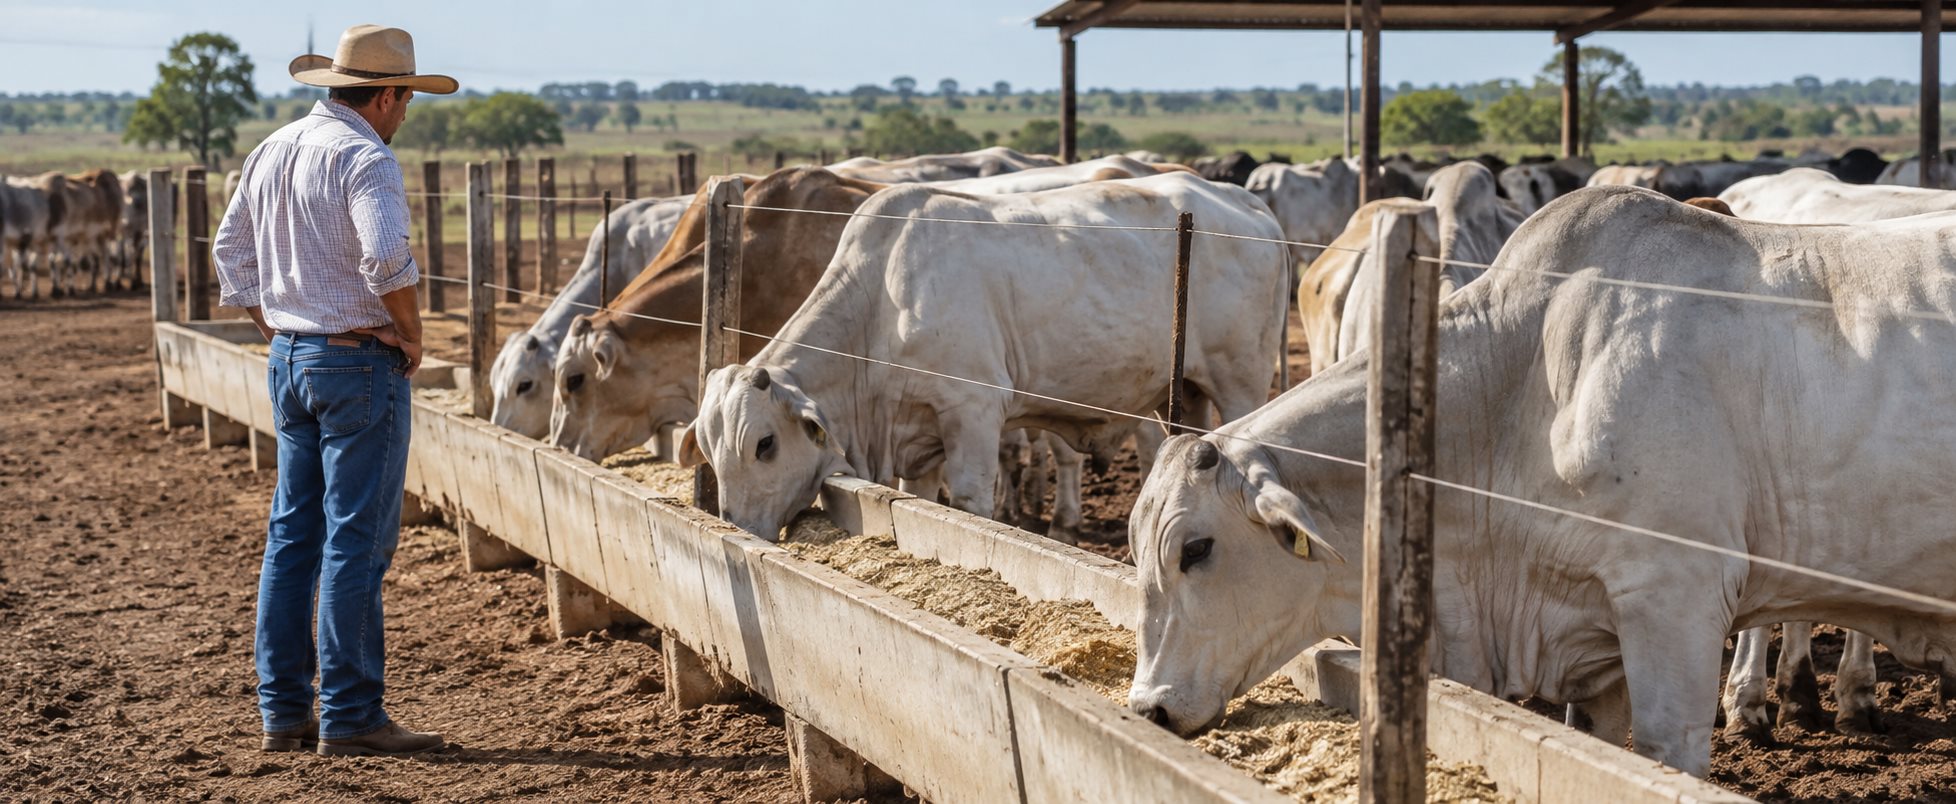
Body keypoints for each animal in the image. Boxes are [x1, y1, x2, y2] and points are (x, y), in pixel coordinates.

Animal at [677, 171, 1289, 542]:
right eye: (707, 446)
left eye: (764, 444)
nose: (736, 525)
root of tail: (1244, 200)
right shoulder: (915, 440)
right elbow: (917, 497)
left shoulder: (971, 413)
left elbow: (970, 503)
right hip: (1183, 389)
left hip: (1241, 380)